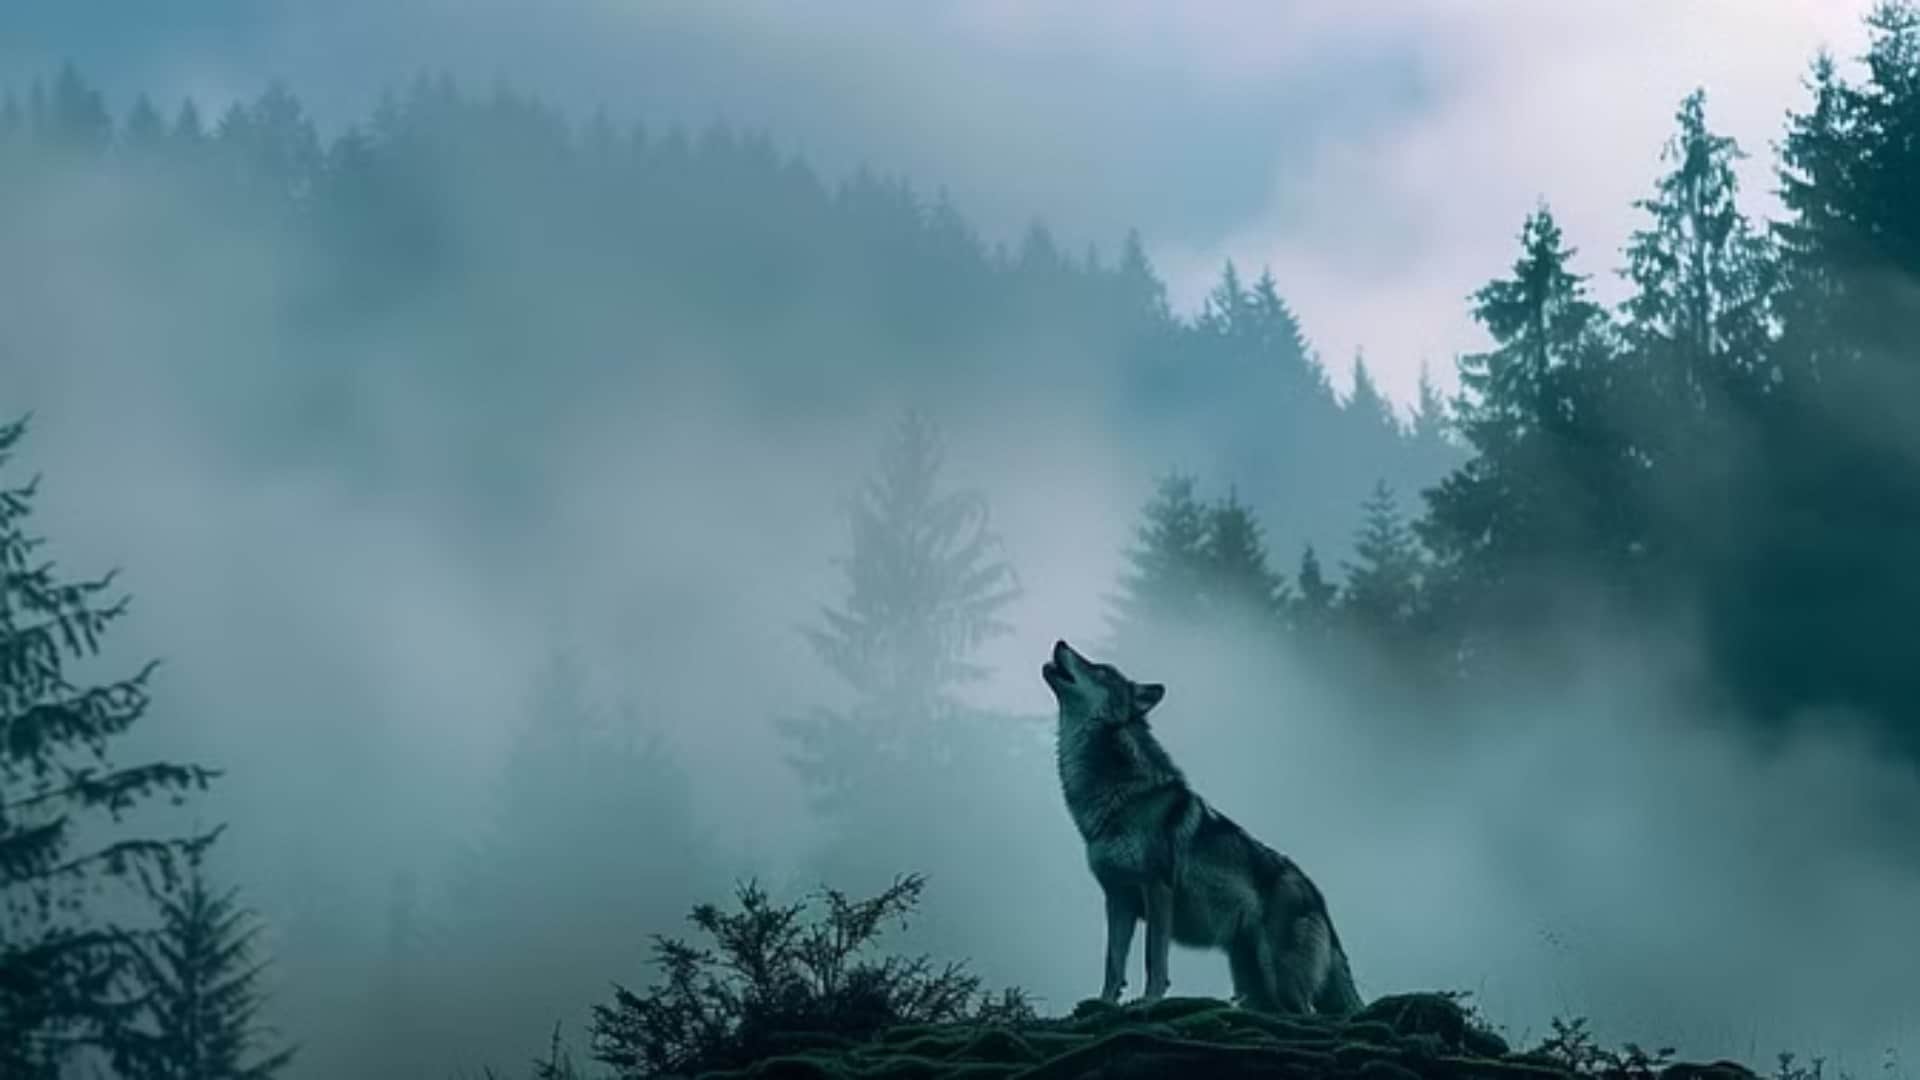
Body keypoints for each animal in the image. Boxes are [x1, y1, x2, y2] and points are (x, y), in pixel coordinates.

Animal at [1042, 639, 1362, 1015]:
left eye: (1101, 670)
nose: (1060, 642)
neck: (1124, 795)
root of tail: (1317, 895)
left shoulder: (1157, 888)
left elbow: (1154, 958)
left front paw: (1148, 1002)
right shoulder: (1118, 899)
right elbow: (1113, 962)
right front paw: (1104, 1004)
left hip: (1280, 978)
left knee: (1308, 1014)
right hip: (1254, 985)